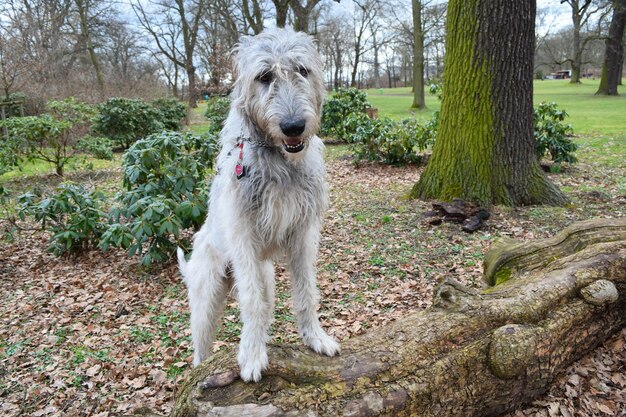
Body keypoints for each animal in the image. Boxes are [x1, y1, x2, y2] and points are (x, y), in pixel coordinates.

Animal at [178, 27, 338, 382]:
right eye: (264, 76)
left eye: (302, 70)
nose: (293, 126)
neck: (280, 160)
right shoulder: (243, 237)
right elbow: (251, 302)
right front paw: (250, 355)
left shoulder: (304, 234)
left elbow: (306, 291)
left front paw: (315, 337)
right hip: (207, 295)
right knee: (202, 342)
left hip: (265, 275)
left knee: (265, 307)